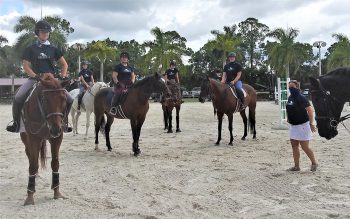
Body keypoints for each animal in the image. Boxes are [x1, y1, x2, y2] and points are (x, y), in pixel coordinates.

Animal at [19, 73, 70, 205]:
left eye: (63, 99)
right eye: (44, 100)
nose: (55, 129)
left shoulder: (57, 138)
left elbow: (55, 163)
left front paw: (57, 192)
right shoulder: (34, 138)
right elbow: (33, 164)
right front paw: (30, 196)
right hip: (26, 137)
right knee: (30, 155)